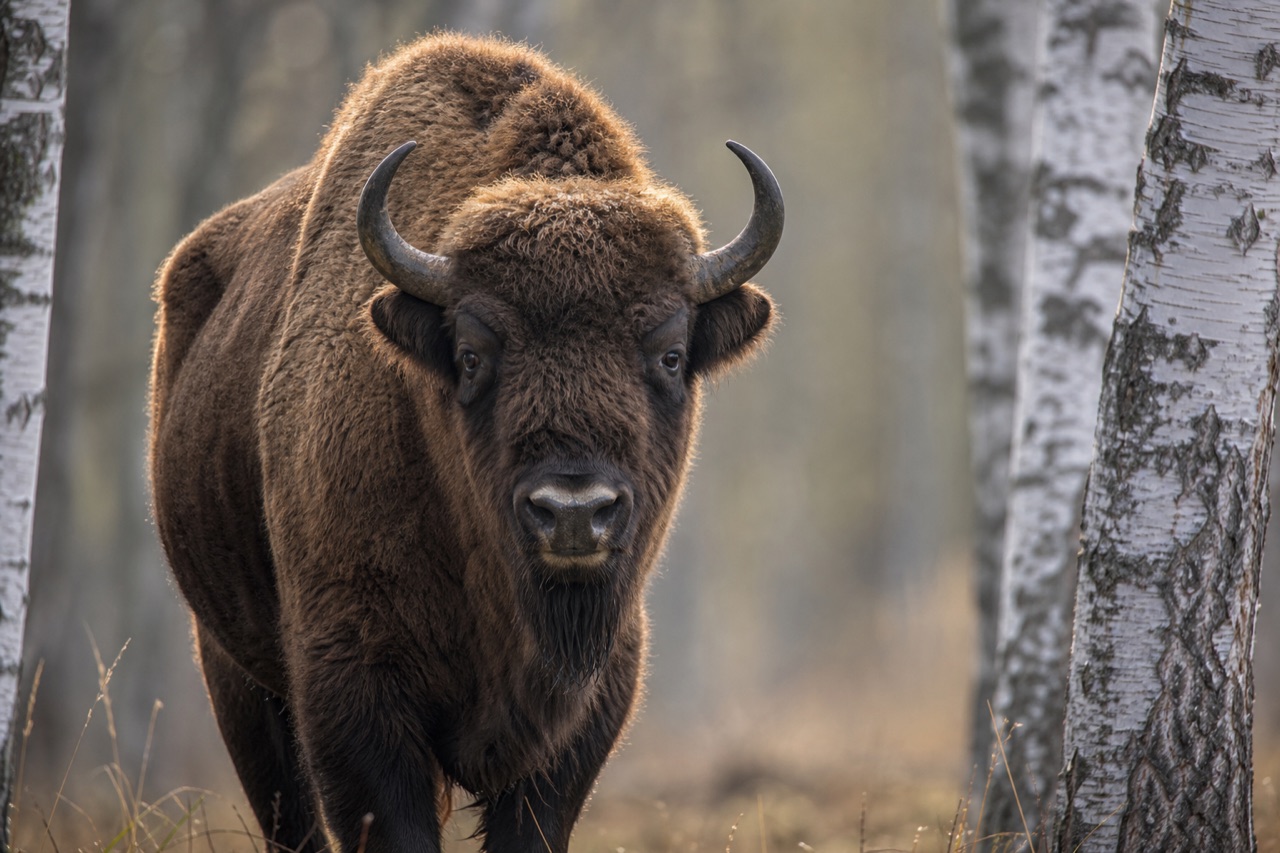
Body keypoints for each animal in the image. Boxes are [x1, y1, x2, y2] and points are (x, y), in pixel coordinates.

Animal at [148, 33, 781, 853]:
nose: (573, 512)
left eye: (671, 354)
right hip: (232, 667)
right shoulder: (353, 688)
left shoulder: (588, 708)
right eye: (474, 352)